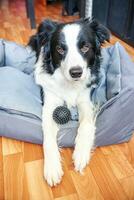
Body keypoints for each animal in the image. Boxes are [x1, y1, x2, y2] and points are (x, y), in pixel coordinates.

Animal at [28, 18, 110, 187]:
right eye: (60, 49)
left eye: (85, 47)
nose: (76, 72)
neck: (69, 84)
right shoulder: (49, 102)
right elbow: (48, 137)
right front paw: (52, 168)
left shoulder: (86, 100)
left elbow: (86, 124)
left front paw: (81, 153)